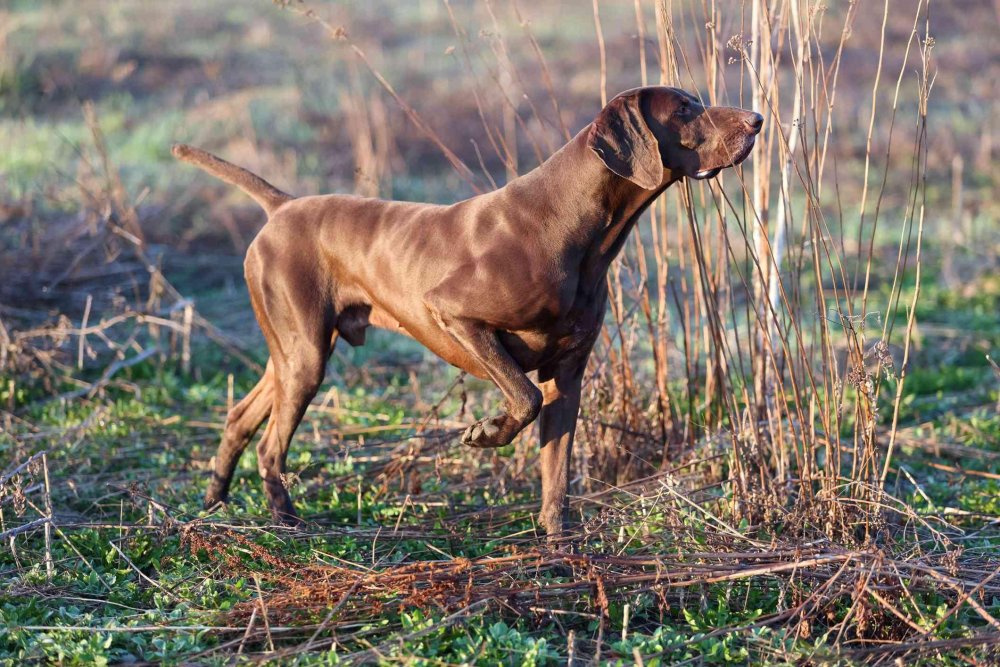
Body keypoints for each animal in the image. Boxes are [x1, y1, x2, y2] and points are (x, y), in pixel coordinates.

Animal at [176, 87, 760, 536]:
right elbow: (522, 398)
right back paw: (286, 523)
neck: (571, 224)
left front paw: (559, 547)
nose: (756, 119)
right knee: (270, 446)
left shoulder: (567, 377)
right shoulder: (454, 315)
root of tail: (282, 206)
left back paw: (214, 506)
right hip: (305, 357)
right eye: (683, 109)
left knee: (239, 417)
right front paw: (487, 432)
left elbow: (556, 476)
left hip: (293, 354)